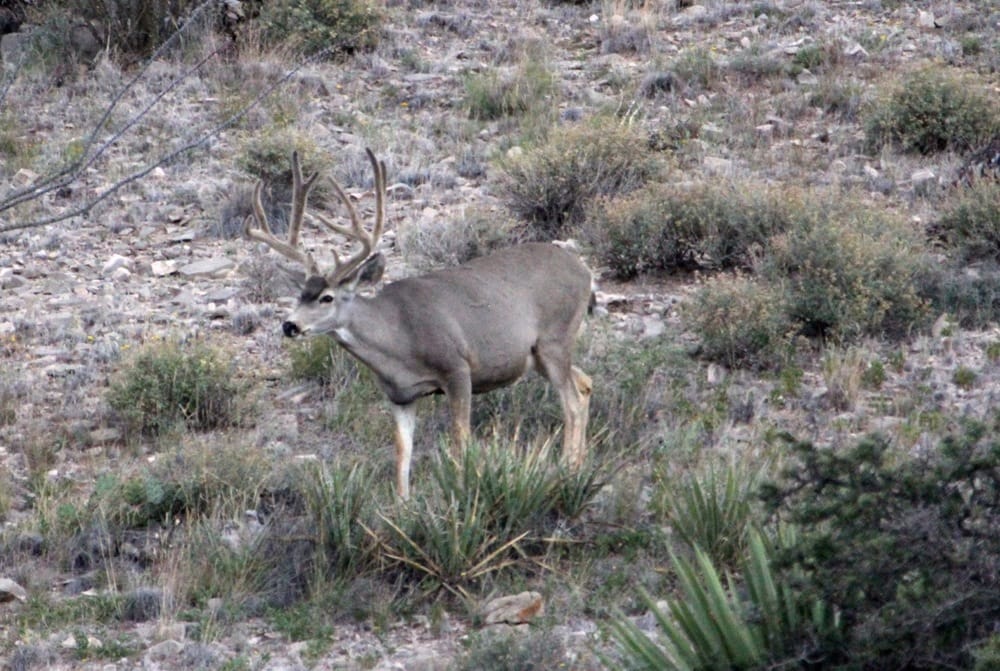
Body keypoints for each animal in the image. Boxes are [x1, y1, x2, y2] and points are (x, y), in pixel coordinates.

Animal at [246, 150, 592, 502]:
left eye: (327, 297)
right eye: (300, 295)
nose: (289, 325)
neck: (399, 340)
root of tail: (583, 271)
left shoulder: (457, 368)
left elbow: (460, 440)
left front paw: (462, 491)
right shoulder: (399, 395)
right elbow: (403, 454)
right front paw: (403, 504)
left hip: (555, 336)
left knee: (572, 403)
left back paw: (568, 473)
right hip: (537, 355)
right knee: (585, 383)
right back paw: (577, 466)